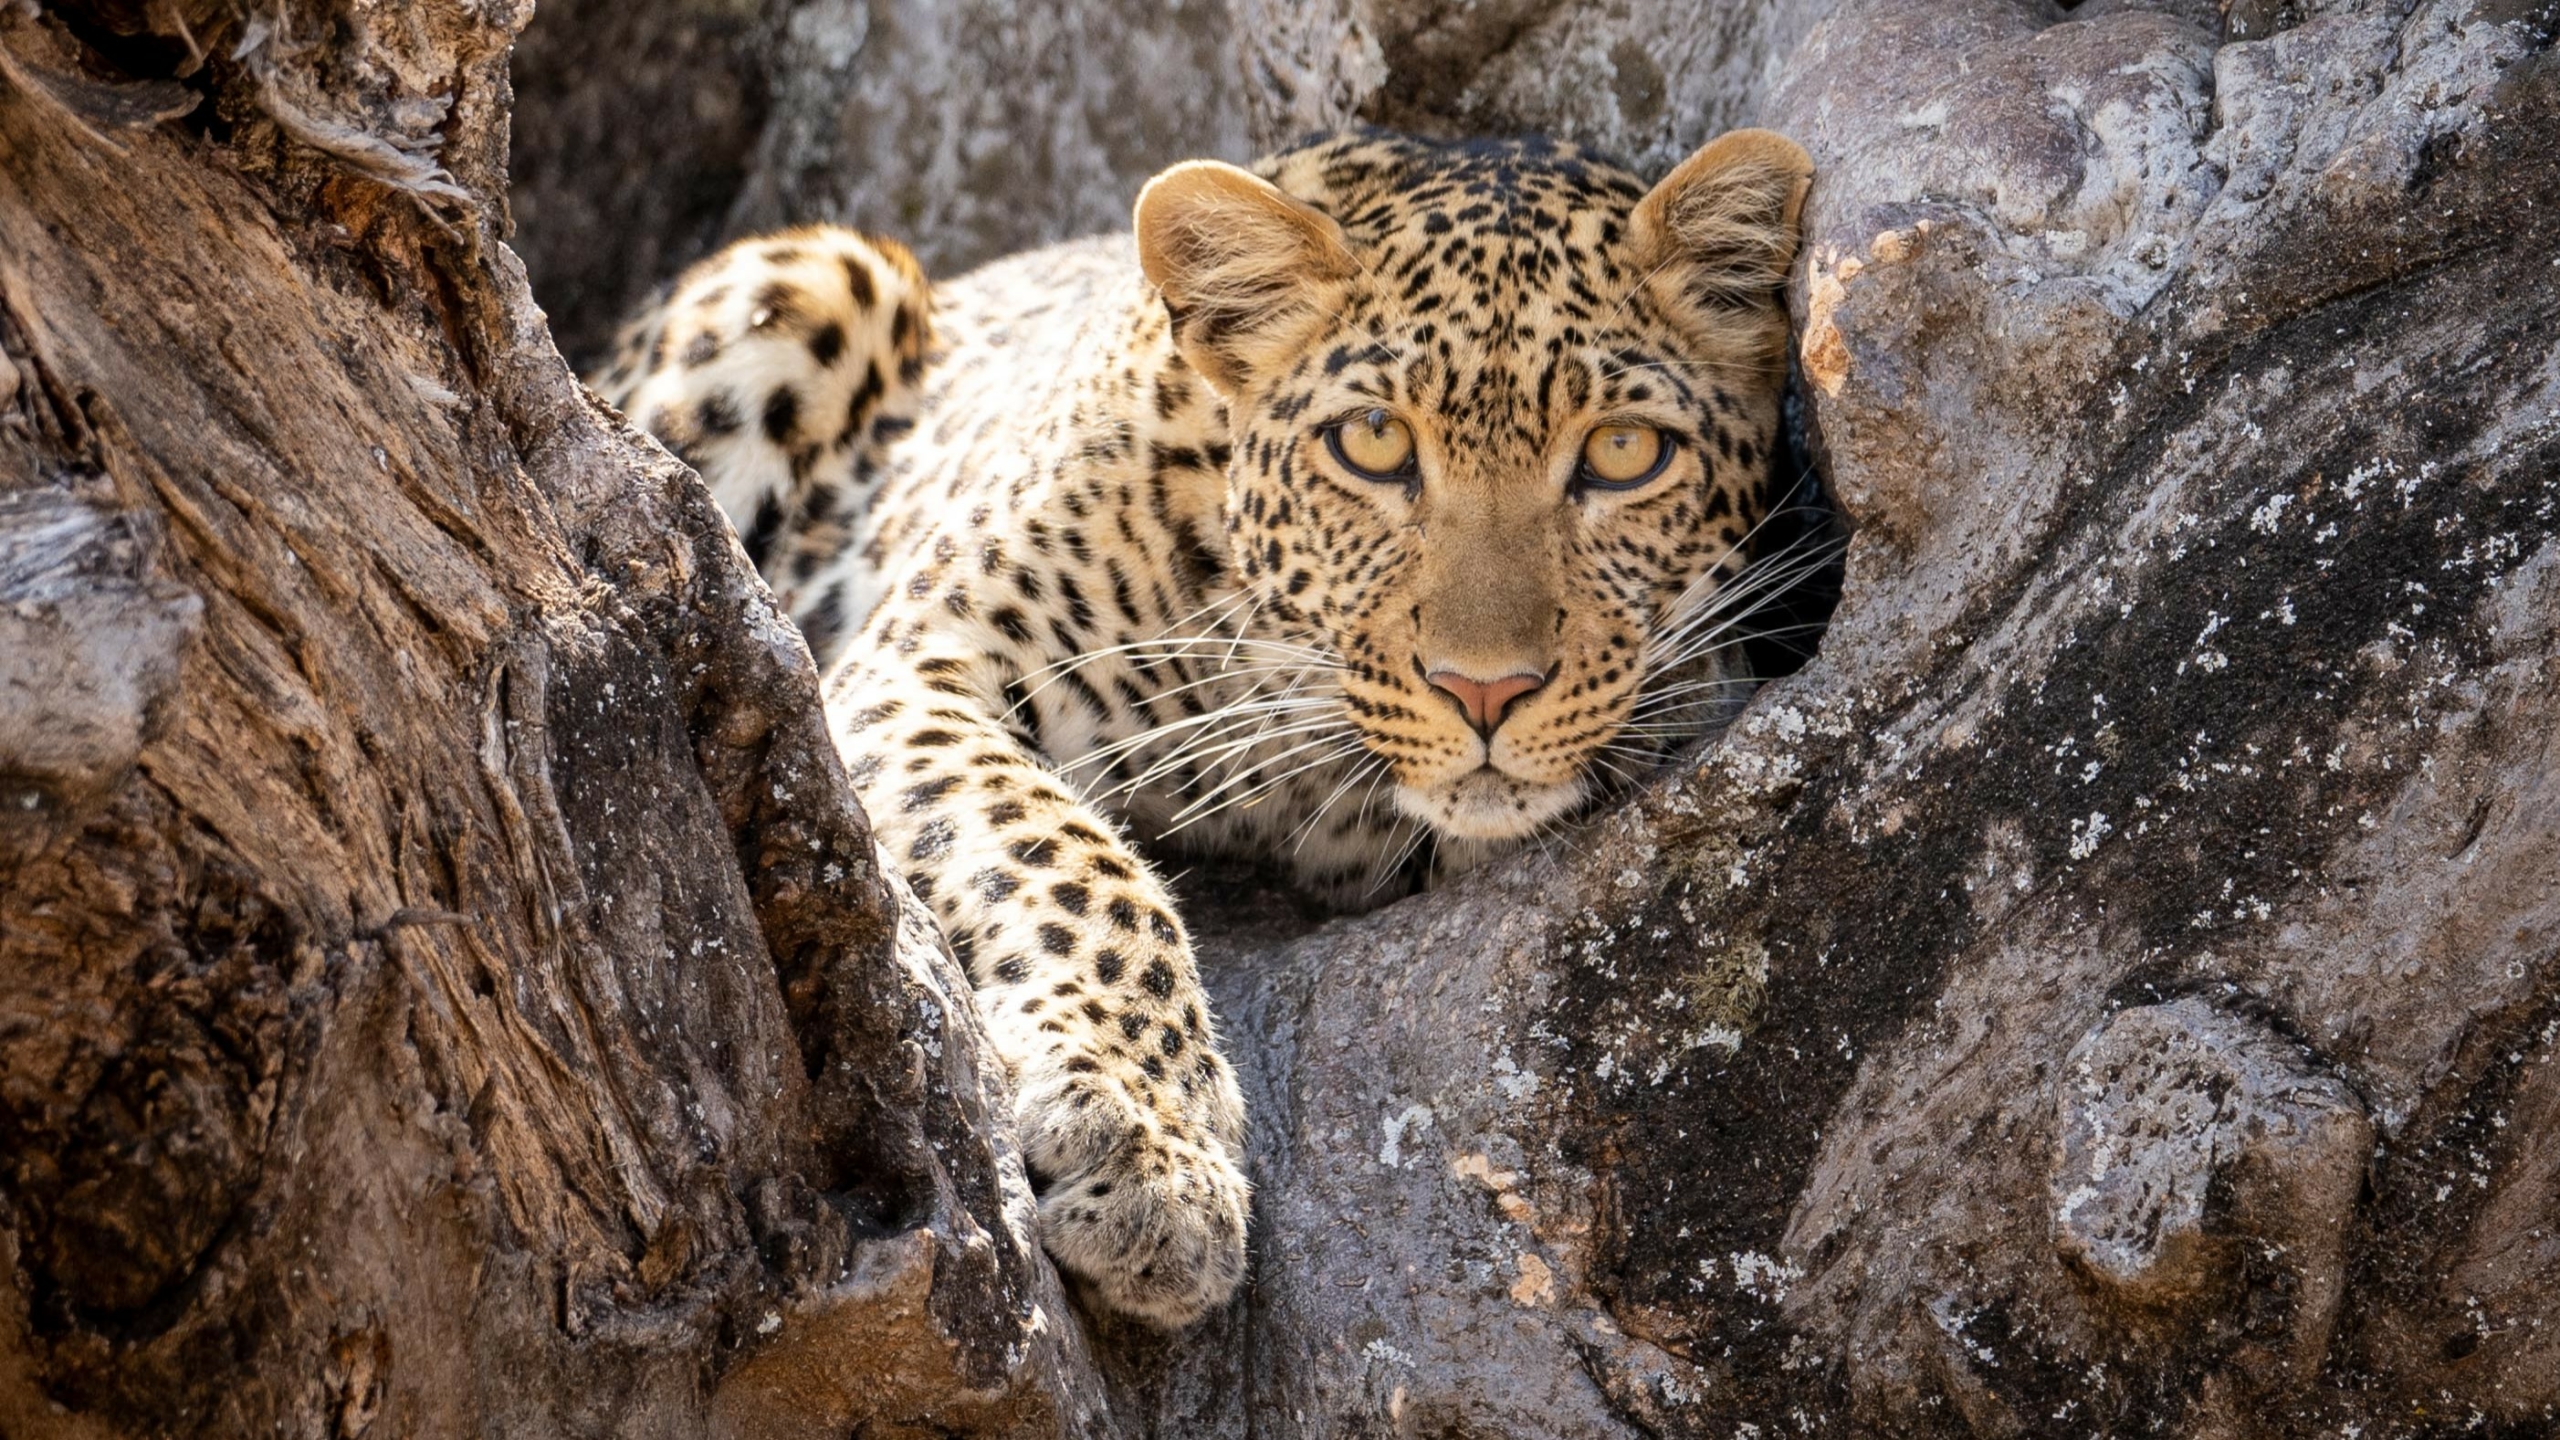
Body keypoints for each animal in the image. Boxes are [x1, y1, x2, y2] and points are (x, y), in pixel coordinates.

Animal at [589, 126, 1817, 1328]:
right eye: (1373, 442)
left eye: (1624, 453)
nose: (1485, 690)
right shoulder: (915, 668)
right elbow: (1076, 862)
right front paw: (1149, 1150)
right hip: (804, 279)